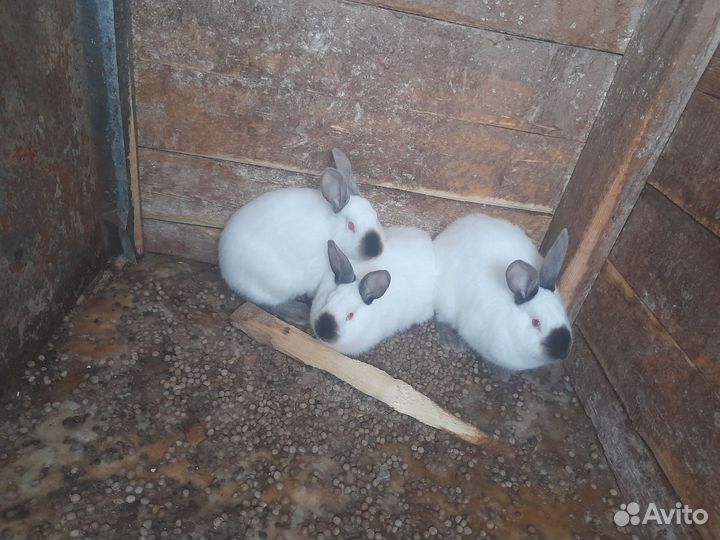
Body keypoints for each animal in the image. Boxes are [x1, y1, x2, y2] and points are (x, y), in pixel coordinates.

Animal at [218, 149, 385, 324]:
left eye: (375, 216)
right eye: (351, 226)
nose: (376, 250)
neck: (331, 228)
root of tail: (225, 267)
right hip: (277, 283)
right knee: (267, 303)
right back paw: (299, 313)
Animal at [433, 214, 571, 370]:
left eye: (564, 313)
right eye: (536, 322)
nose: (562, 352)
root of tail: (447, 232)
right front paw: (498, 371)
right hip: (445, 304)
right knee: (440, 318)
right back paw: (450, 340)